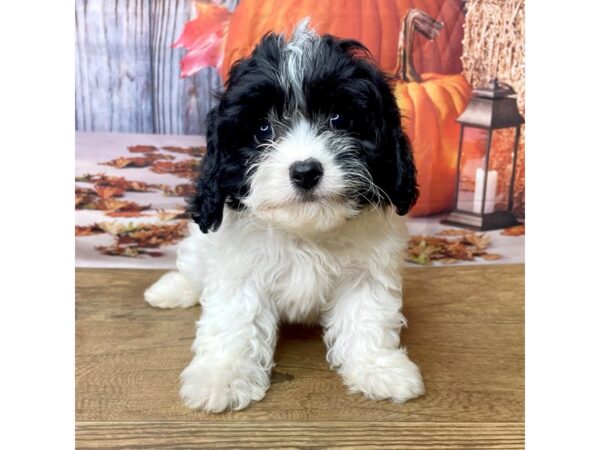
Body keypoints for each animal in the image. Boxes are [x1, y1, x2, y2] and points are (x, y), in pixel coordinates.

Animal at [145, 21, 424, 414]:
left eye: (339, 119)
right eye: (263, 129)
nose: (305, 171)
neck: (304, 230)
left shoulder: (367, 272)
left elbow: (367, 317)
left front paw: (380, 369)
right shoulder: (238, 269)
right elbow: (235, 322)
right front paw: (223, 377)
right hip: (200, 245)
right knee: (193, 268)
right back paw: (171, 290)